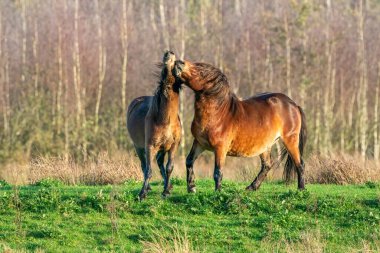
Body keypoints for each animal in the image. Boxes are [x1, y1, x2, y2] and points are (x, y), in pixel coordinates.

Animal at [127, 50, 182, 199]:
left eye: (175, 58)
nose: (168, 53)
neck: (165, 120)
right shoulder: (150, 145)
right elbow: (149, 170)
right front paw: (142, 193)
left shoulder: (173, 145)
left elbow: (169, 167)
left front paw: (166, 191)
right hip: (139, 146)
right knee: (144, 165)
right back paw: (149, 187)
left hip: (162, 148)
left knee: (159, 163)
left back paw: (167, 185)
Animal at [174, 59, 308, 192]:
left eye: (201, 71)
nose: (178, 62)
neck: (219, 114)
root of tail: (293, 104)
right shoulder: (200, 143)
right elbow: (189, 161)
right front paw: (191, 188)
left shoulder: (220, 148)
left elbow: (218, 172)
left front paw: (218, 192)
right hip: (265, 145)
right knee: (267, 165)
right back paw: (252, 187)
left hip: (290, 140)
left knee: (299, 164)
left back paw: (301, 188)